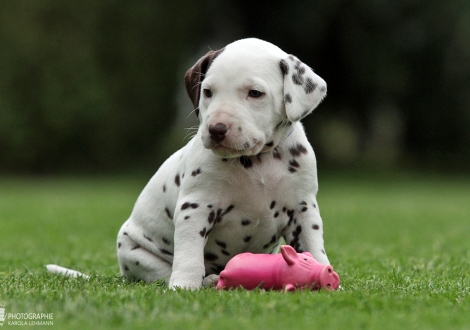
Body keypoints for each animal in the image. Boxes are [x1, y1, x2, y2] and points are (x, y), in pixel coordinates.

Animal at [116, 38, 330, 288]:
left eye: (255, 93)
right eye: (208, 92)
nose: (216, 129)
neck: (258, 161)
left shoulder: (303, 210)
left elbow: (313, 247)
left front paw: (323, 274)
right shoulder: (196, 207)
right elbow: (189, 253)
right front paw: (185, 285)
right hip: (135, 252)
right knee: (162, 272)